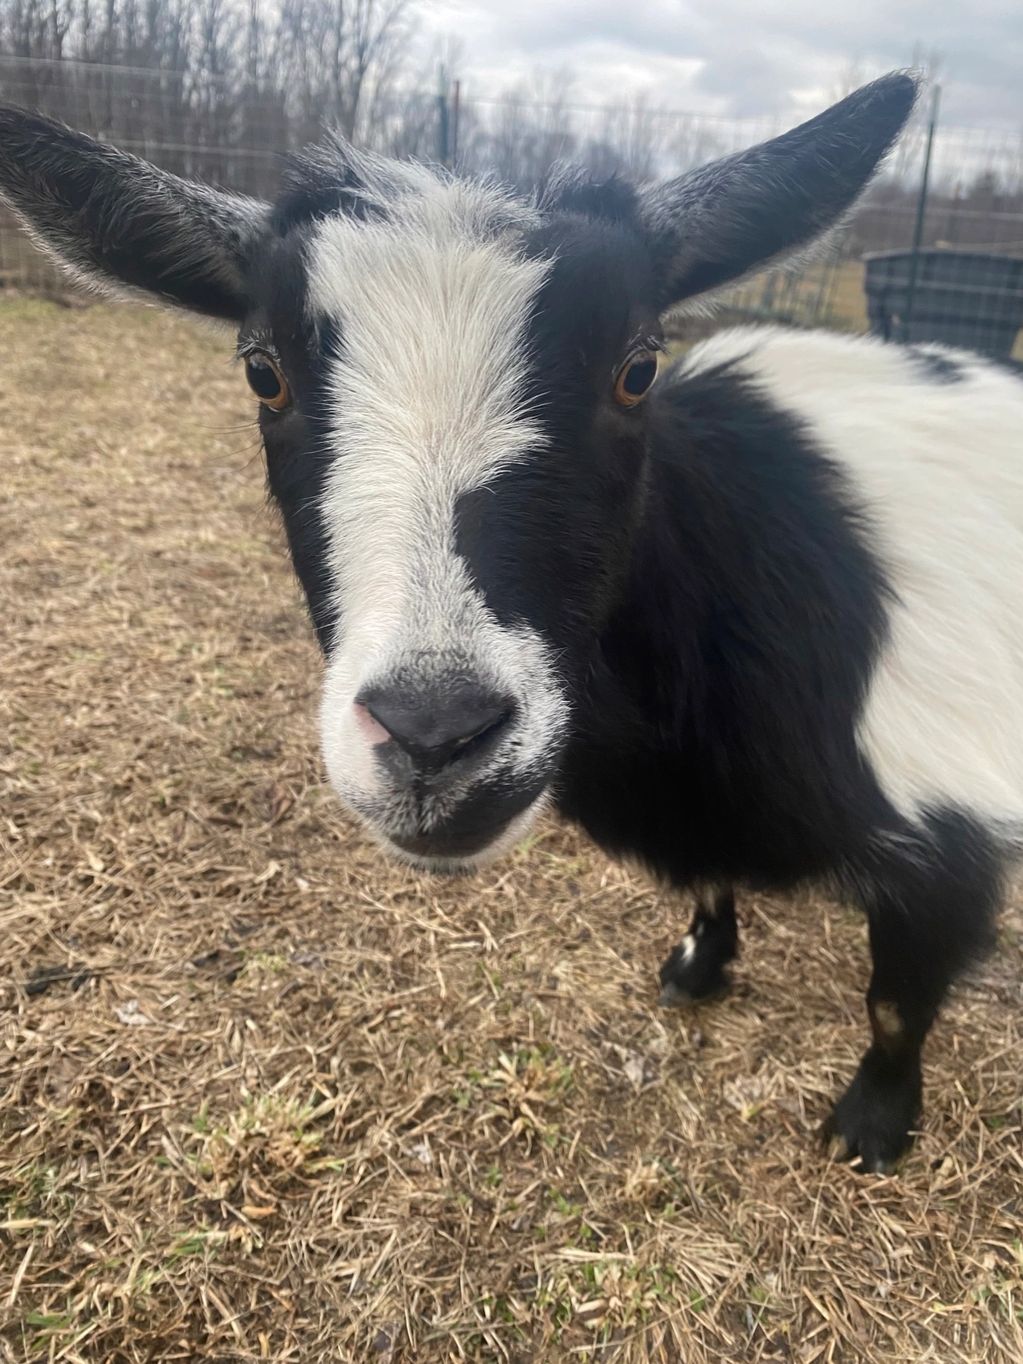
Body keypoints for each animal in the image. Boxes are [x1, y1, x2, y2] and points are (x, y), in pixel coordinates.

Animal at [4, 71, 1020, 1173]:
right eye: (262, 373)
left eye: (638, 367)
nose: (433, 734)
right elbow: (712, 887)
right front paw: (698, 965)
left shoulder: (949, 831)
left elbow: (893, 1003)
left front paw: (871, 1127)